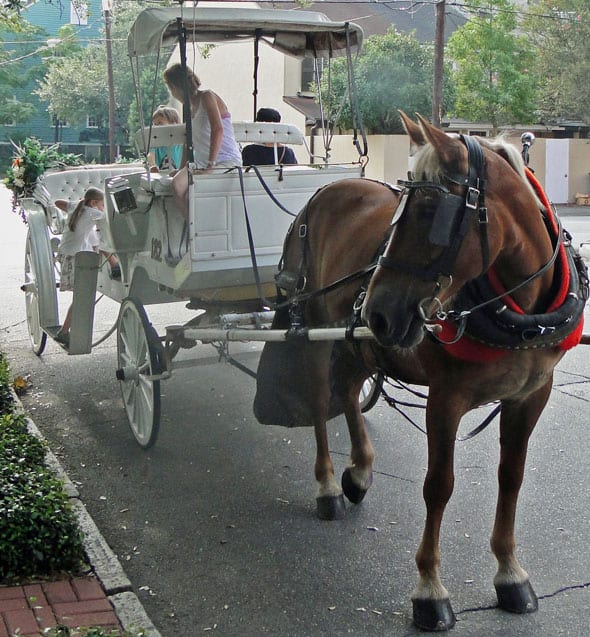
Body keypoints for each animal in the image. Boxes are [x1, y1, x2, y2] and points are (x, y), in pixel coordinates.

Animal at [253, 112, 588, 628]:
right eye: (402, 207)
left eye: (432, 210)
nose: (377, 312)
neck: (520, 310)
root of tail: (324, 192)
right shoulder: (445, 399)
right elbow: (438, 486)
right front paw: (429, 589)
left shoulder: (531, 395)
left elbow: (511, 478)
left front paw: (510, 572)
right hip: (314, 327)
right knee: (320, 398)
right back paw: (328, 485)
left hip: (358, 342)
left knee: (349, 390)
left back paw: (360, 470)